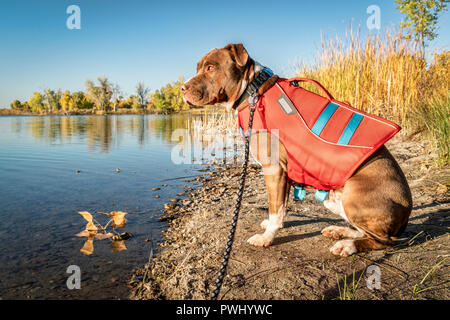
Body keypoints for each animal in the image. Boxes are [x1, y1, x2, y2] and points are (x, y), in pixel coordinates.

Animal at [181, 43, 414, 256]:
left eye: (211, 67)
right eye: (198, 68)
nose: (182, 88)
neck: (252, 89)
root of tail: (408, 209)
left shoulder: (274, 168)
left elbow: (275, 207)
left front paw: (266, 237)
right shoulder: (283, 172)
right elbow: (281, 206)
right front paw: (274, 226)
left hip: (355, 198)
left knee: (384, 241)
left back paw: (348, 245)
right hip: (333, 200)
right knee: (364, 231)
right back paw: (339, 231)